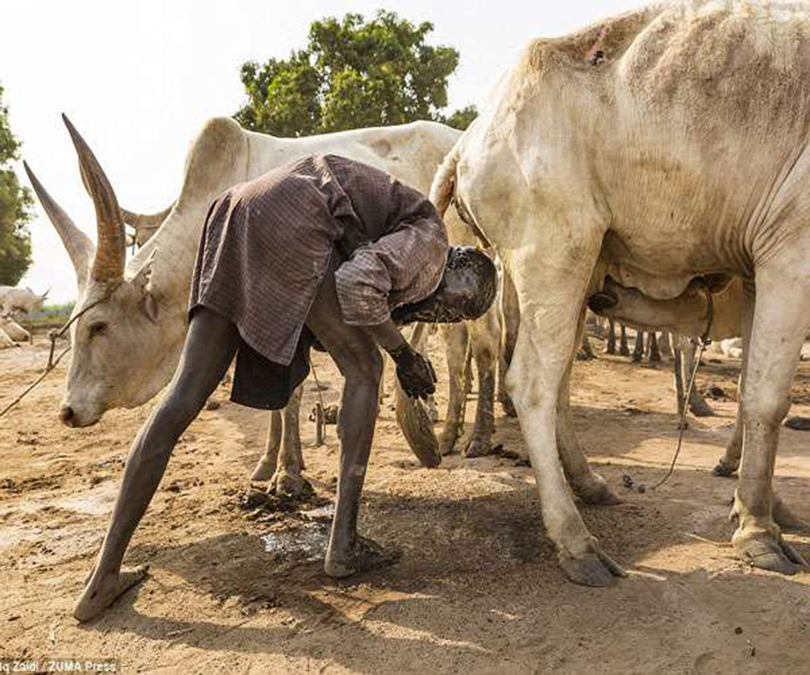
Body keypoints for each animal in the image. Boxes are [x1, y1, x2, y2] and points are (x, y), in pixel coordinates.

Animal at [432, 0, 808, 580]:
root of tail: (468, 139)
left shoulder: (754, 269)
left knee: (559, 378)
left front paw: (765, 508)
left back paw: (590, 486)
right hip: (553, 243)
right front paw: (759, 534)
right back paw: (577, 544)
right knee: (532, 383)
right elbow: (767, 398)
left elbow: (752, 387)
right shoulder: (792, 246)